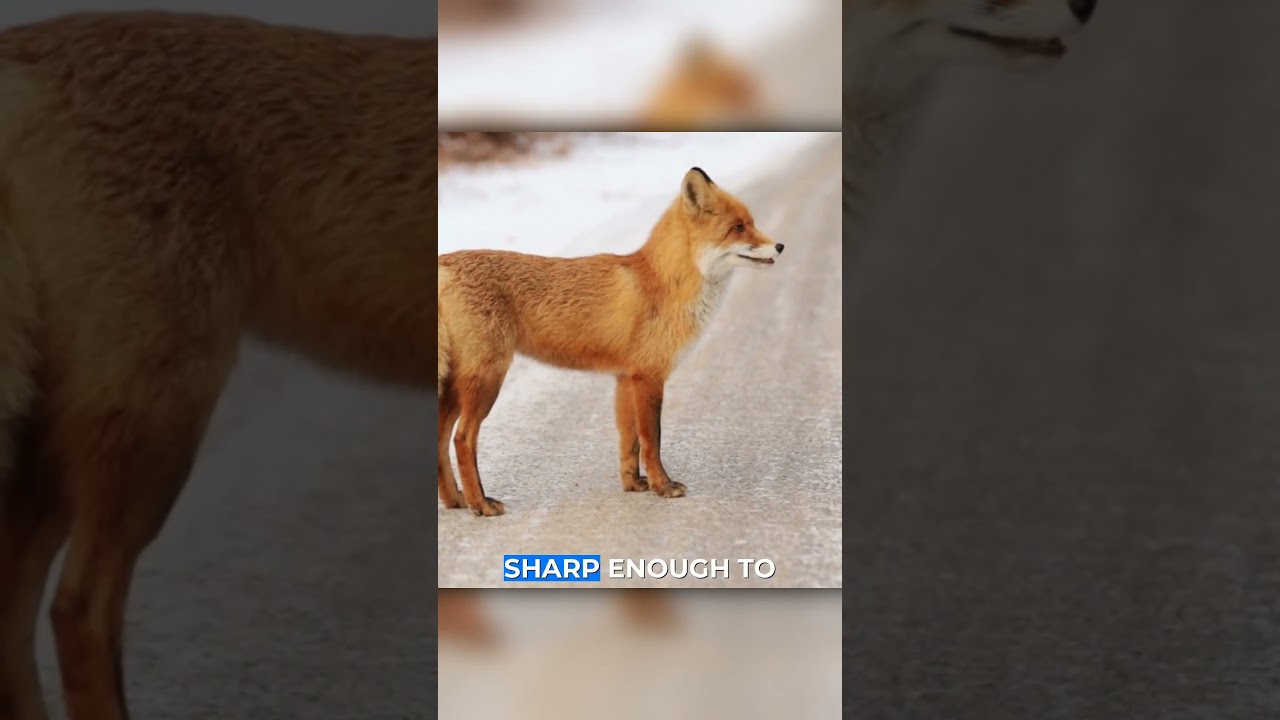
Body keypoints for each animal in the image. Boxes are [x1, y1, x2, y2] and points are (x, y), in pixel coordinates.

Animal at [437, 167, 781, 516]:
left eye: (751, 223)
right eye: (738, 228)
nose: (780, 246)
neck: (664, 283)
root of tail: (444, 264)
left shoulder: (625, 377)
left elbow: (629, 440)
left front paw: (634, 484)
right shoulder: (648, 376)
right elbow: (652, 439)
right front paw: (663, 486)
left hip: (455, 384)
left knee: (440, 438)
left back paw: (455, 500)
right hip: (486, 380)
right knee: (462, 439)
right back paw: (480, 503)